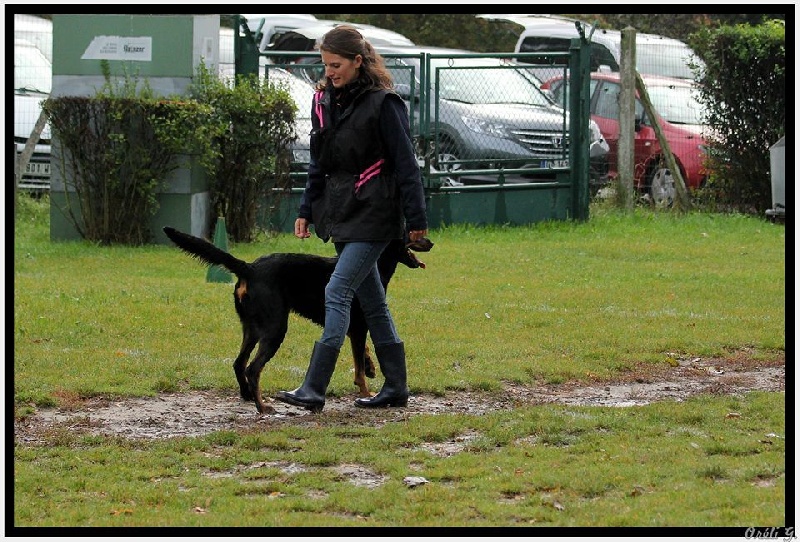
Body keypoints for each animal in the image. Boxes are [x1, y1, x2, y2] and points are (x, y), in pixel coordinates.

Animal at [163, 226, 433, 414]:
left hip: (252, 328)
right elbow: (358, 370)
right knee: (253, 368)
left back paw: (248, 396)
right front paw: (367, 392)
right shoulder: (358, 326)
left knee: (239, 363)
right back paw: (262, 407)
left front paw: (371, 366)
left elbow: (363, 354)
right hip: (275, 328)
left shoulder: (352, 326)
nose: (430, 242)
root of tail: (249, 268)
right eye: (410, 231)